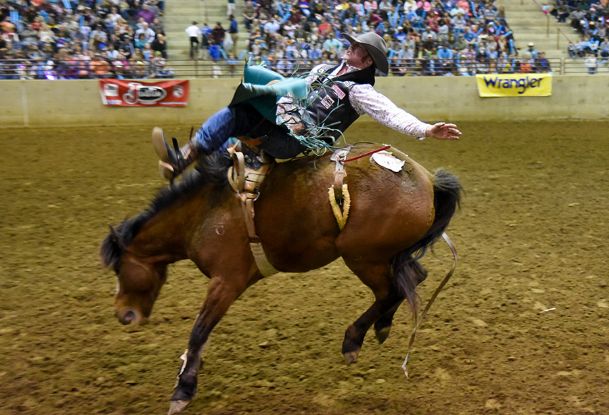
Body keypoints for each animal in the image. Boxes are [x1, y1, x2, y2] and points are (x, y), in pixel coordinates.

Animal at [101, 142, 460, 412]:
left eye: (119, 268)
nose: (123, 315)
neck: (203, 214)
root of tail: (428, 180)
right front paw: (188, 368)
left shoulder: (226, 281)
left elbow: (199, 331)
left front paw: (183, 389)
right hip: (387, 255)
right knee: (412, 278)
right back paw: (382, 327)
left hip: (363, 256)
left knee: (391, 291)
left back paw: (353, 340)